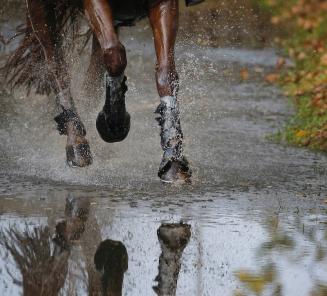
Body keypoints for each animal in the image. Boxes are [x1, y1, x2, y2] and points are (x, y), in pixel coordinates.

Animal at [2, 0, 204, 183]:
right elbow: (114, 55)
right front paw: (112, 125)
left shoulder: (163, 3)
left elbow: (166, 73)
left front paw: (173, 160)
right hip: (41, 9)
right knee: (55, 62)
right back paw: (76, 142)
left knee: (93, 69)